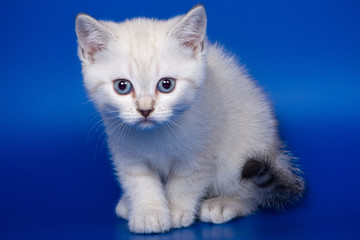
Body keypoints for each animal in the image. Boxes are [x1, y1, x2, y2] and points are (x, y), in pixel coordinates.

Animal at [75, 4, 304, 234]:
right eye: (122, 86)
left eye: (166, 85)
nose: (145, 110)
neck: (156, 135)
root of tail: (276, 152)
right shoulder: (127, 152)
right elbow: (140, 182)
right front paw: (149, 213)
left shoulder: (200, 151)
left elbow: (185, 183)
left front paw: (176, 211)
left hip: (245, 149)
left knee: (253, 193)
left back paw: (225, 203)